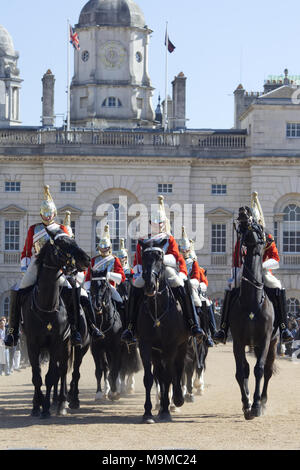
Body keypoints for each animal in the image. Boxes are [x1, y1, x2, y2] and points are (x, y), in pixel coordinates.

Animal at [21, 233, 89, 416]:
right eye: (62, 244)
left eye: (73, 240)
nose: (86, 259)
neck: (47, 306)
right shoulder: (32, 344)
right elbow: (36, 376)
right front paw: (37, 405)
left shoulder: (56, 343)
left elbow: (51, 376)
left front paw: (46, 407)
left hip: (74, 347)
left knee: (67, 371)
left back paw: (64, 401)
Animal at [89, 272, 122, 400]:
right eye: (92, 285)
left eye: (104, 286)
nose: (98, 305)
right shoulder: (96, 348)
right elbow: (99, 370)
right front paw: (98, 393)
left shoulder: (116, 348)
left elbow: (115, 369)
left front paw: (114, 391)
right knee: (106, 366)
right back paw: (107, 388)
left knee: (115, 366)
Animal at [137, 241, 189, 424]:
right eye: (143, 256)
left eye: (160, 257)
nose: (150, 285)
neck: (157, 309)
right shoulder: (145, 345)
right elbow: (149, 378)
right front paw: (147, 412)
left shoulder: (171, 345)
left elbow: (169, 376)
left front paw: (166, 410)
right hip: (157, 352)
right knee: (160, 373)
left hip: (182, 346)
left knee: (177, 368)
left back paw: (177, 399)